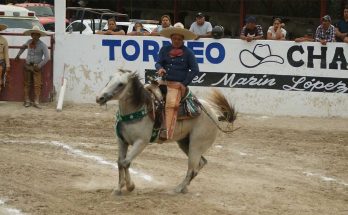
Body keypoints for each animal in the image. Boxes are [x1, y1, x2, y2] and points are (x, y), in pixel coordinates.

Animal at [96, 69, 235, 194]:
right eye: (109, 80)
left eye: (121, 84)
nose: (99, 98)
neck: (138, 109)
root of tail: (214, 114)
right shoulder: (121, 141)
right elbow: (120, 162)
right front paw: (118, 188)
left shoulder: (141, 142)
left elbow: (126, 162)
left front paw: (130, 186)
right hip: (185, 143)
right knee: (201, 163)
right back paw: (184, 188)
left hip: (196, 145)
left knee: (192, 169)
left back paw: (178, 189)